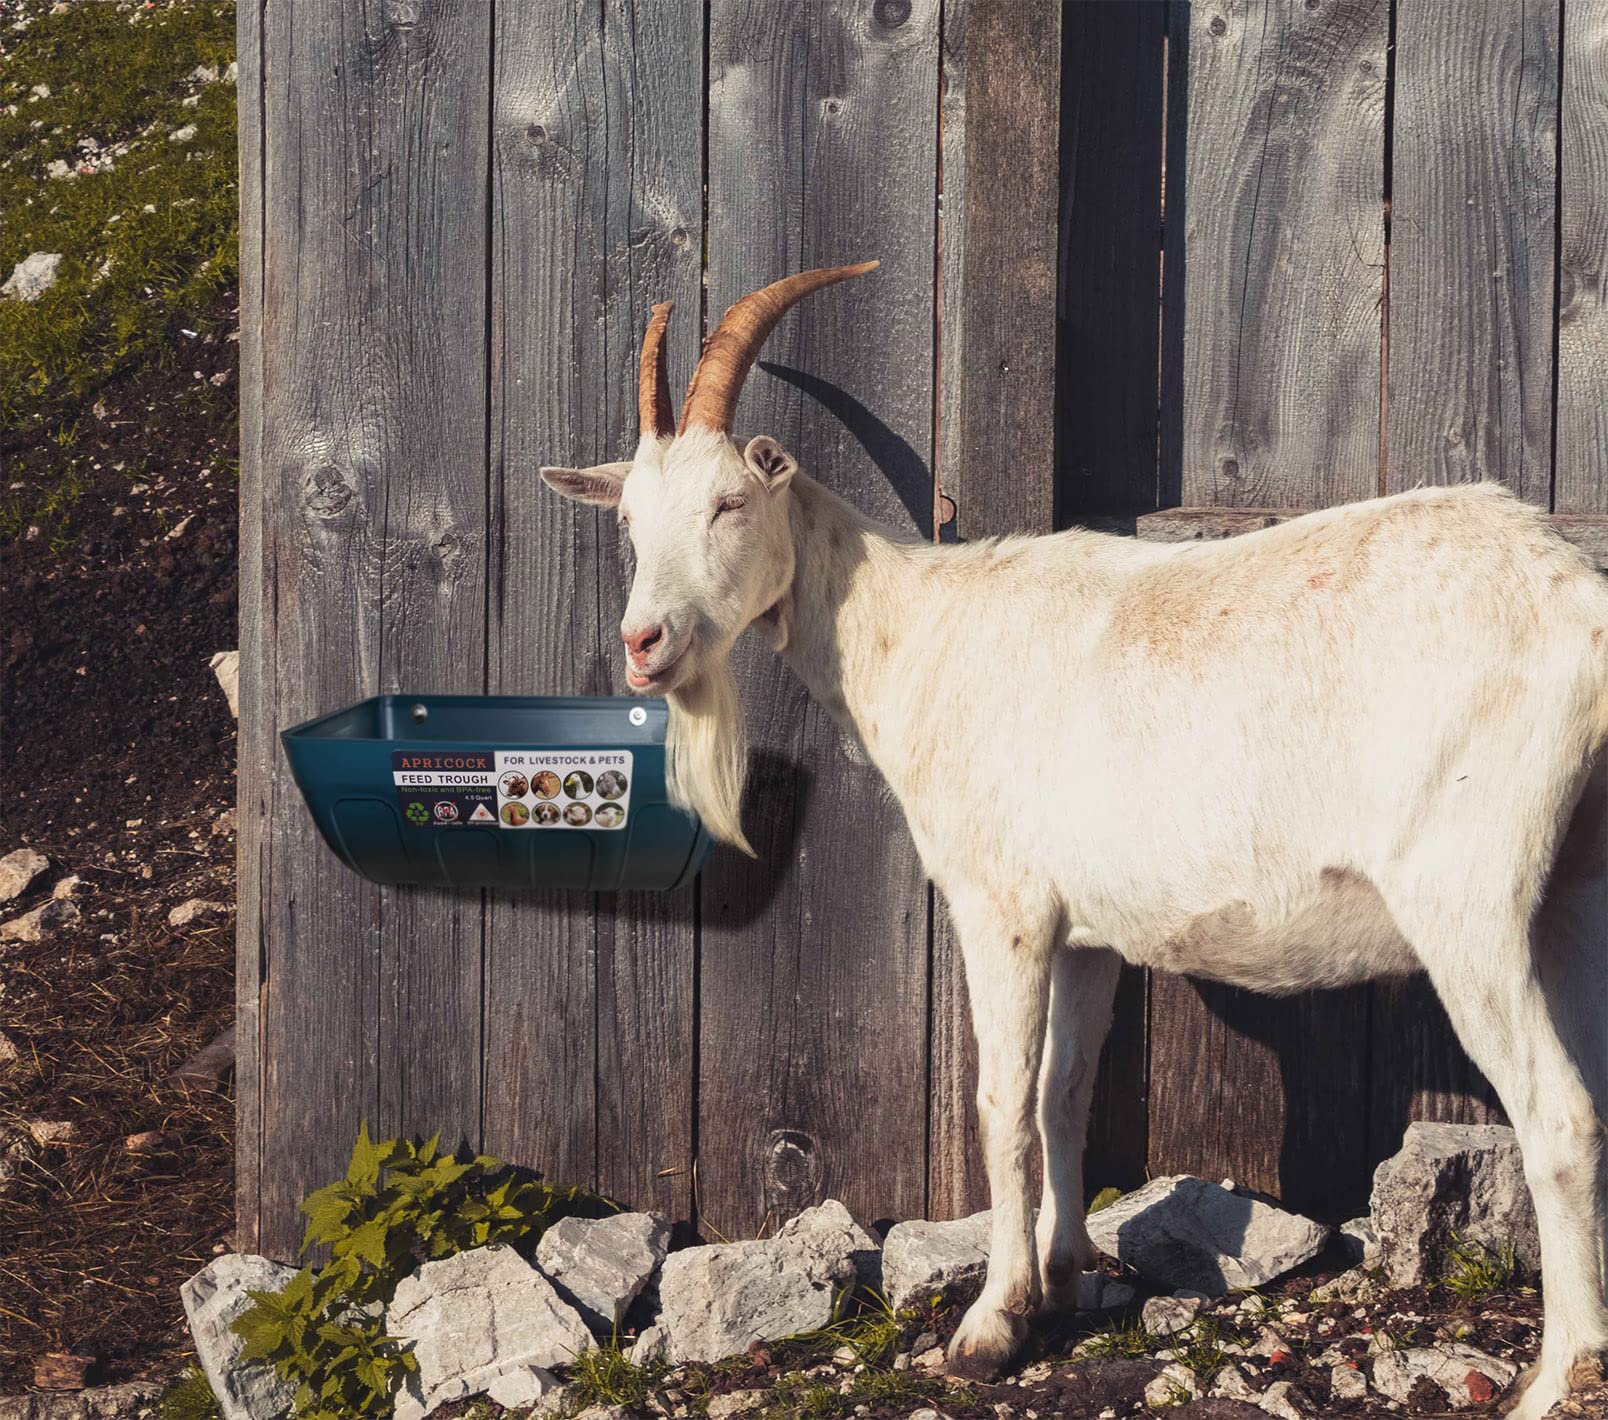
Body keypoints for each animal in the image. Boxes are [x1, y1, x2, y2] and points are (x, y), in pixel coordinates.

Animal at [546, 263, 1608, 1408]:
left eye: (730, 502)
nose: (644, 642)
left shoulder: (1000, 904)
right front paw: (1062, 1277)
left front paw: (989, 1323)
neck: (918, 633)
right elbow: (1065, 1094)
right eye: (631, 522)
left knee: (1556, 1111)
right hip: (1577, 892)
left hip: (1469, 896)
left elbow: (1002, 1099)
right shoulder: (1090, 932)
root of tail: (1581, 606)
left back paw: (1556, 1377)